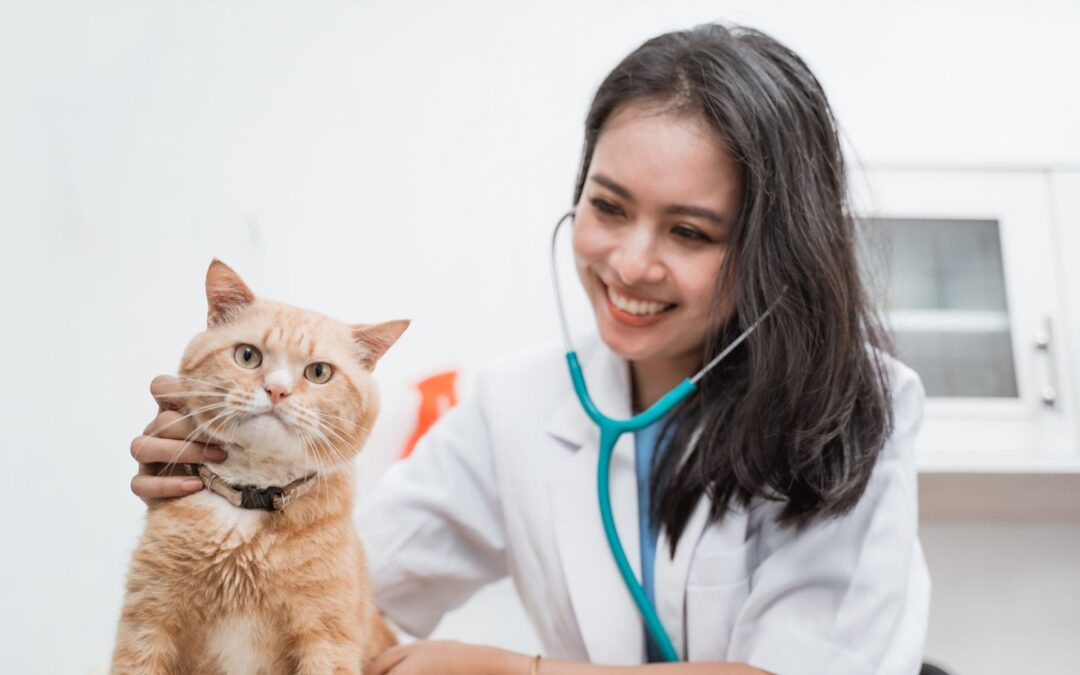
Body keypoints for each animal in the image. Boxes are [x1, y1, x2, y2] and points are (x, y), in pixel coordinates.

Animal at [112, 260, 406, 669]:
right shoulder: (147, 624)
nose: (277, 390)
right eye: (248, 356)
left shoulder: (327, 641)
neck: (250, 499)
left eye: (319, 372)